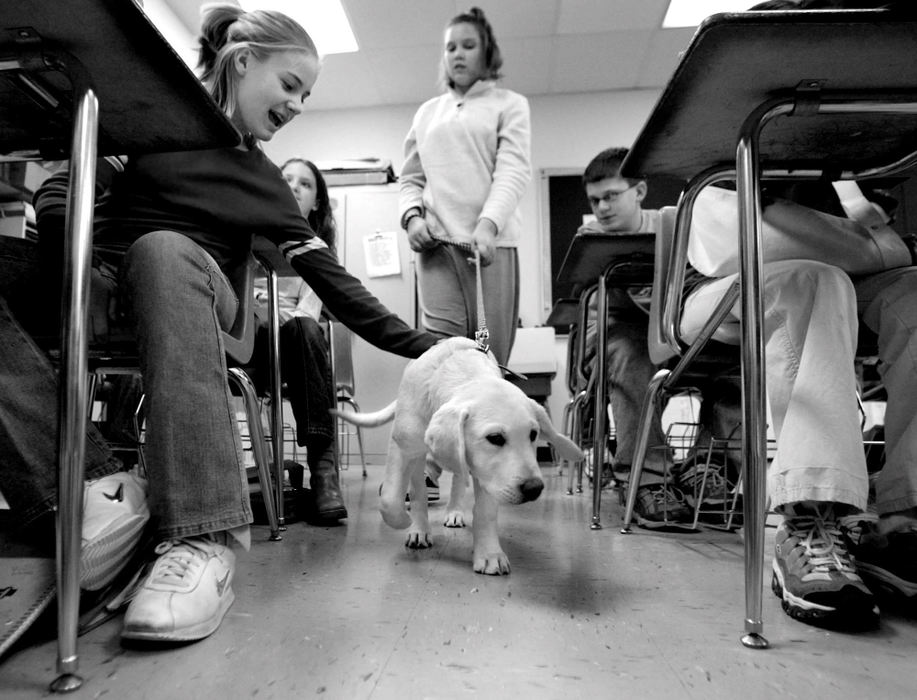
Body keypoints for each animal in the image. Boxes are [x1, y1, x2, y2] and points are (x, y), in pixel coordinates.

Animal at [334, 336, 580, 572]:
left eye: (533, 434)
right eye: (495, 438)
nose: (534, 488)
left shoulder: (487, 475)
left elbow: (485, 512)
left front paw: (489, 554)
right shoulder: (402, 449)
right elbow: (391, 500)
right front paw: (407, 522)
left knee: (458, 480)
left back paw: (454, 511)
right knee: (419, 487)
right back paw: (420, 527)